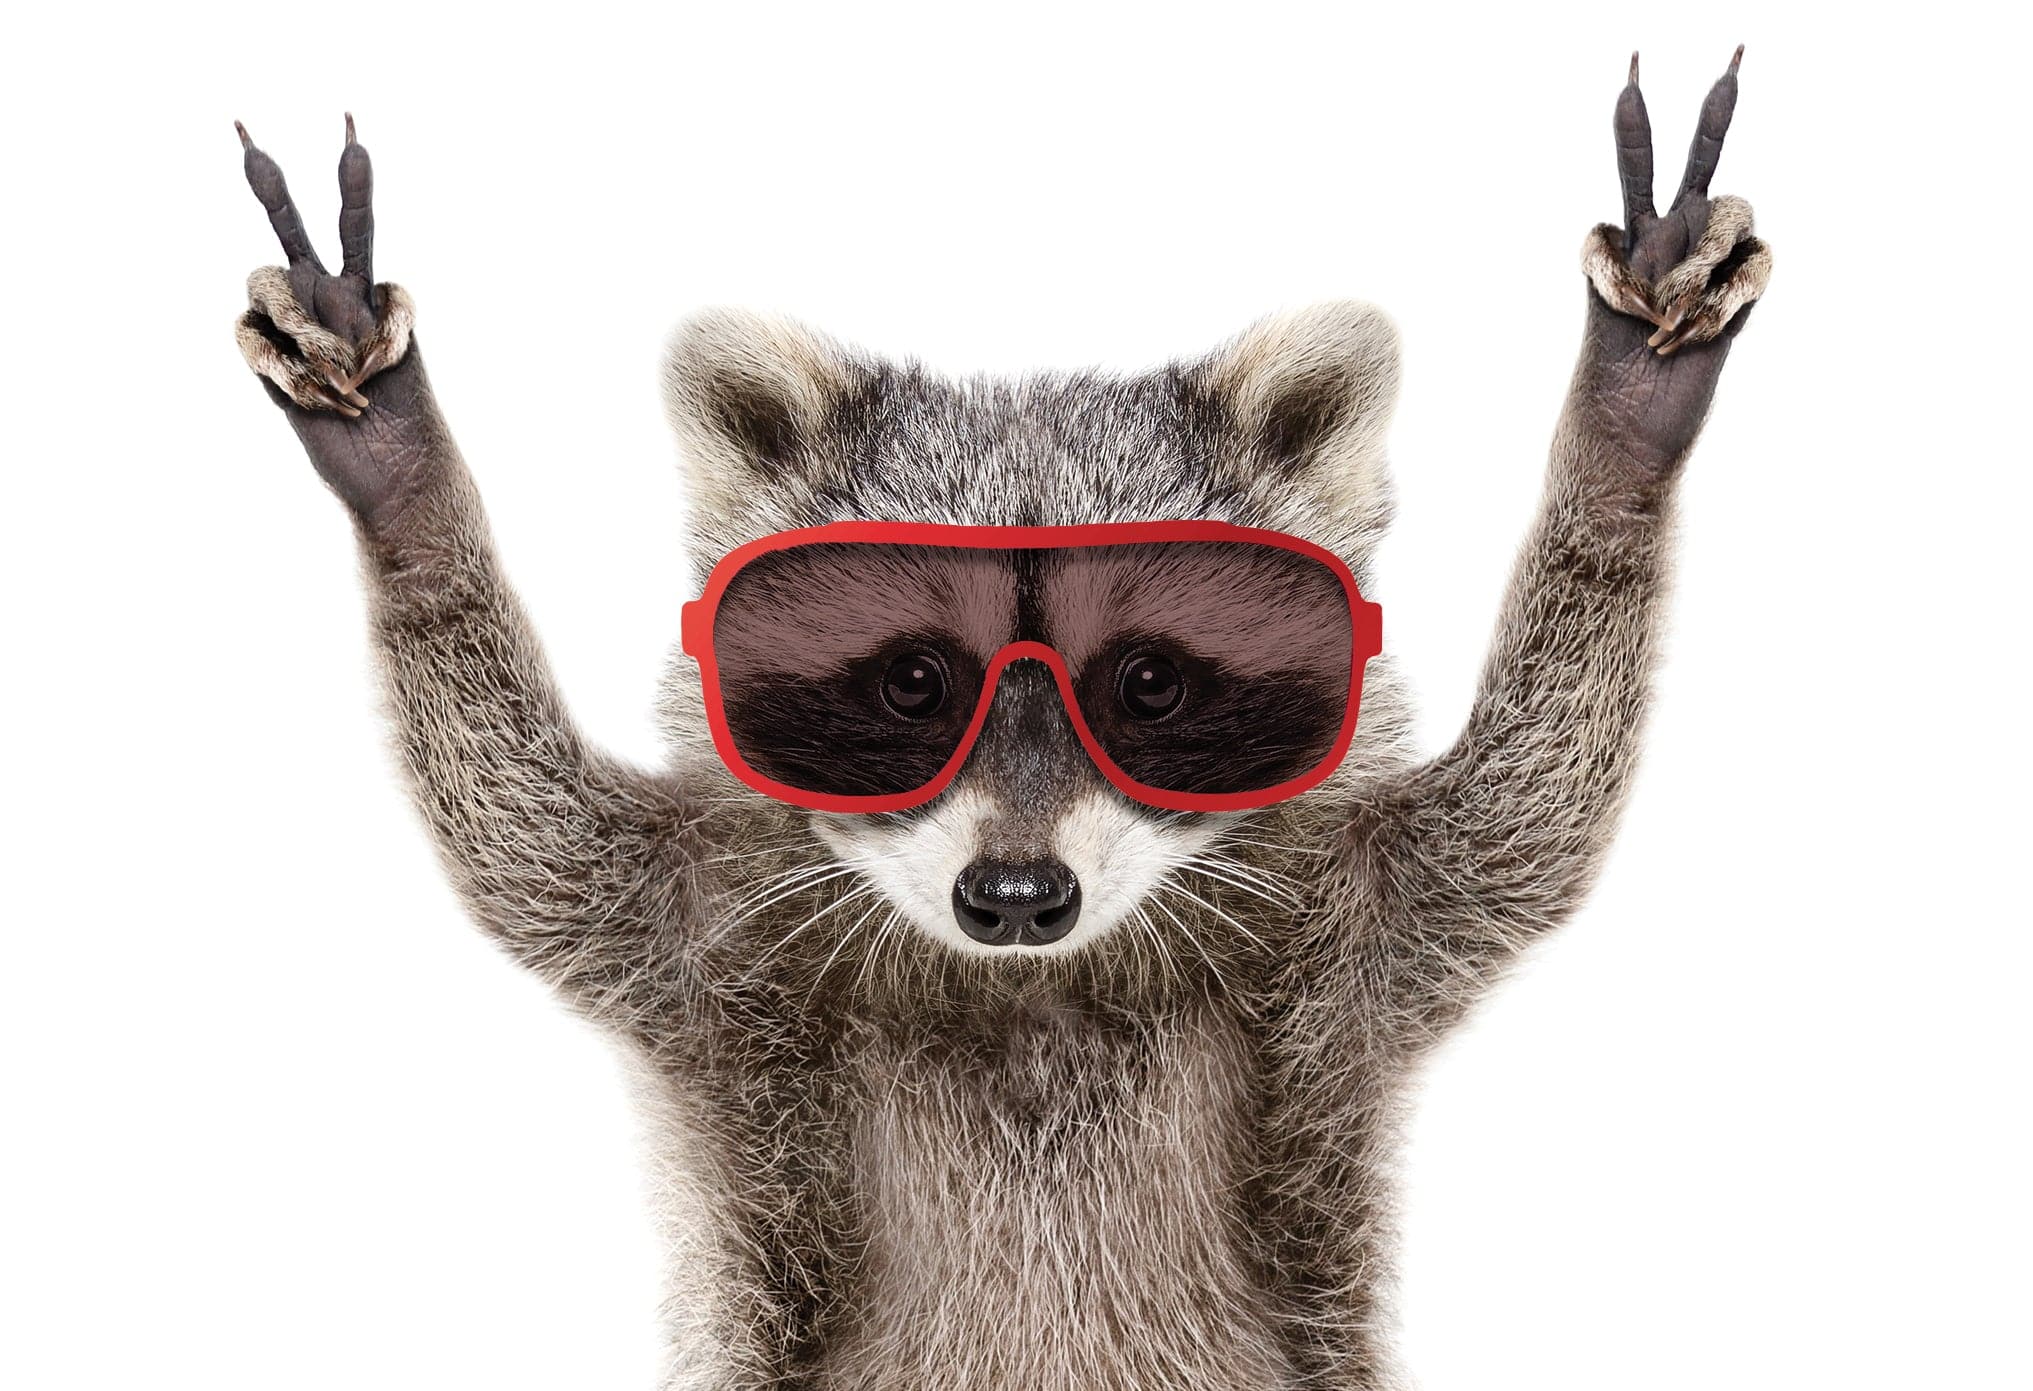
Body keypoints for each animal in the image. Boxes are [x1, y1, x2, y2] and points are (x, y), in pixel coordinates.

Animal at [232, 54, 1769, 1391]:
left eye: (1147, 685)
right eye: (913, 683)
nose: (1017, 895)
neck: (1036, 991)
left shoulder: (1359, 939)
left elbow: (1526, 811)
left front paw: (1619, 439)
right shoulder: (698, 944)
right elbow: (525, 834)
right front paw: (409, 494)